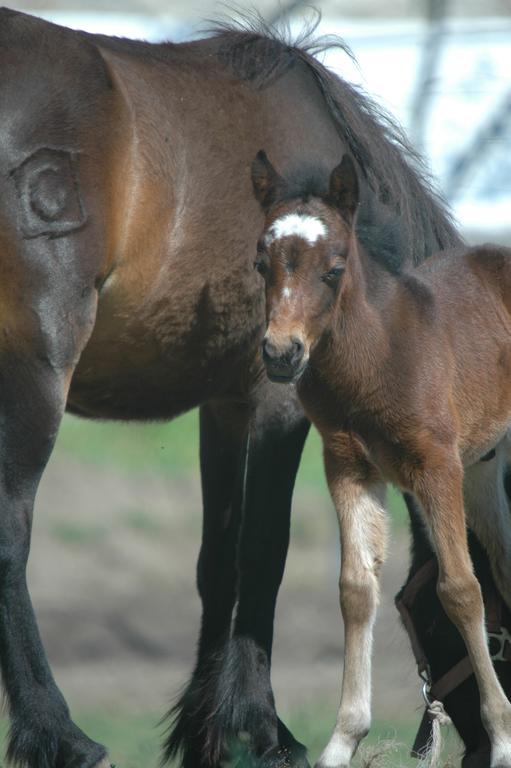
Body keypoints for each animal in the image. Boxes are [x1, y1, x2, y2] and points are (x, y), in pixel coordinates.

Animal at [254, 152, 511, 768]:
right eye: (260, 263)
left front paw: (503, 738)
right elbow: (355, 588)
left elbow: (461, 589)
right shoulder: (349, 465)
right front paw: (342, 740)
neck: (380, 354)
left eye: (335, 268)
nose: (281, 353)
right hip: (484, 468)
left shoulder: (438, 467)